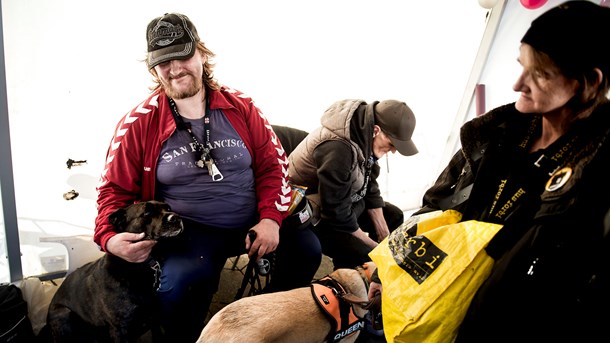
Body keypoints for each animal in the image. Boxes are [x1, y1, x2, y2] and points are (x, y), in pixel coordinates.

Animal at [46, 200, 182, 342]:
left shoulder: (155, 317)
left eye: (168, 208)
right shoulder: (119, 329)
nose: (175, 217)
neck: (136, 267)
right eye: (147, 212)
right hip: (65, 314)